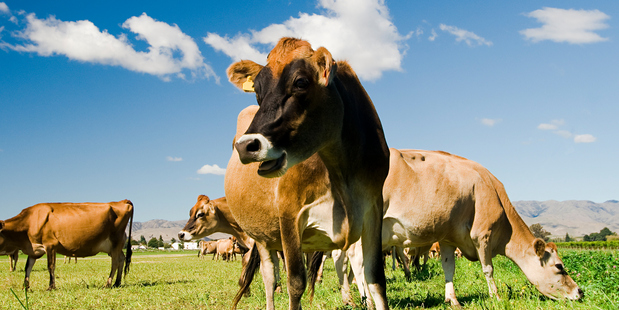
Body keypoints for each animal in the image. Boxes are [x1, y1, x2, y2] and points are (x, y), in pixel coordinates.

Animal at [0, 200, 134, 290]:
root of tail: (121, 201)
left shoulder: (50, 245)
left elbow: (51, 266)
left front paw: (51, 287)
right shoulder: (34, 250)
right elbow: (28, 268)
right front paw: (25, 287)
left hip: (116, 240)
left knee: (115, 262)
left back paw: (108, 283)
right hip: (113, 246)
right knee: (121, 259)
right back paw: (117, 282)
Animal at [228, 37, 390, 310]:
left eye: (301, 82)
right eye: (258, 91)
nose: (246, 145)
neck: (343, 175)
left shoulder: (373, 208)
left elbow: (376, 278)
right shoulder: (289, 214)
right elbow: (295, 283)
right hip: (261, 237)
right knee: (269, 277)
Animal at [342, 150, 584, 306]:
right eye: (559, 267)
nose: (580, 292)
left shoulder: (448, 238)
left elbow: (449, 268)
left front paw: (452, 299)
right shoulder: (482, 234)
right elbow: (488, 268)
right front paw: (496, 297)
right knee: (356, 261)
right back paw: (366, 301)